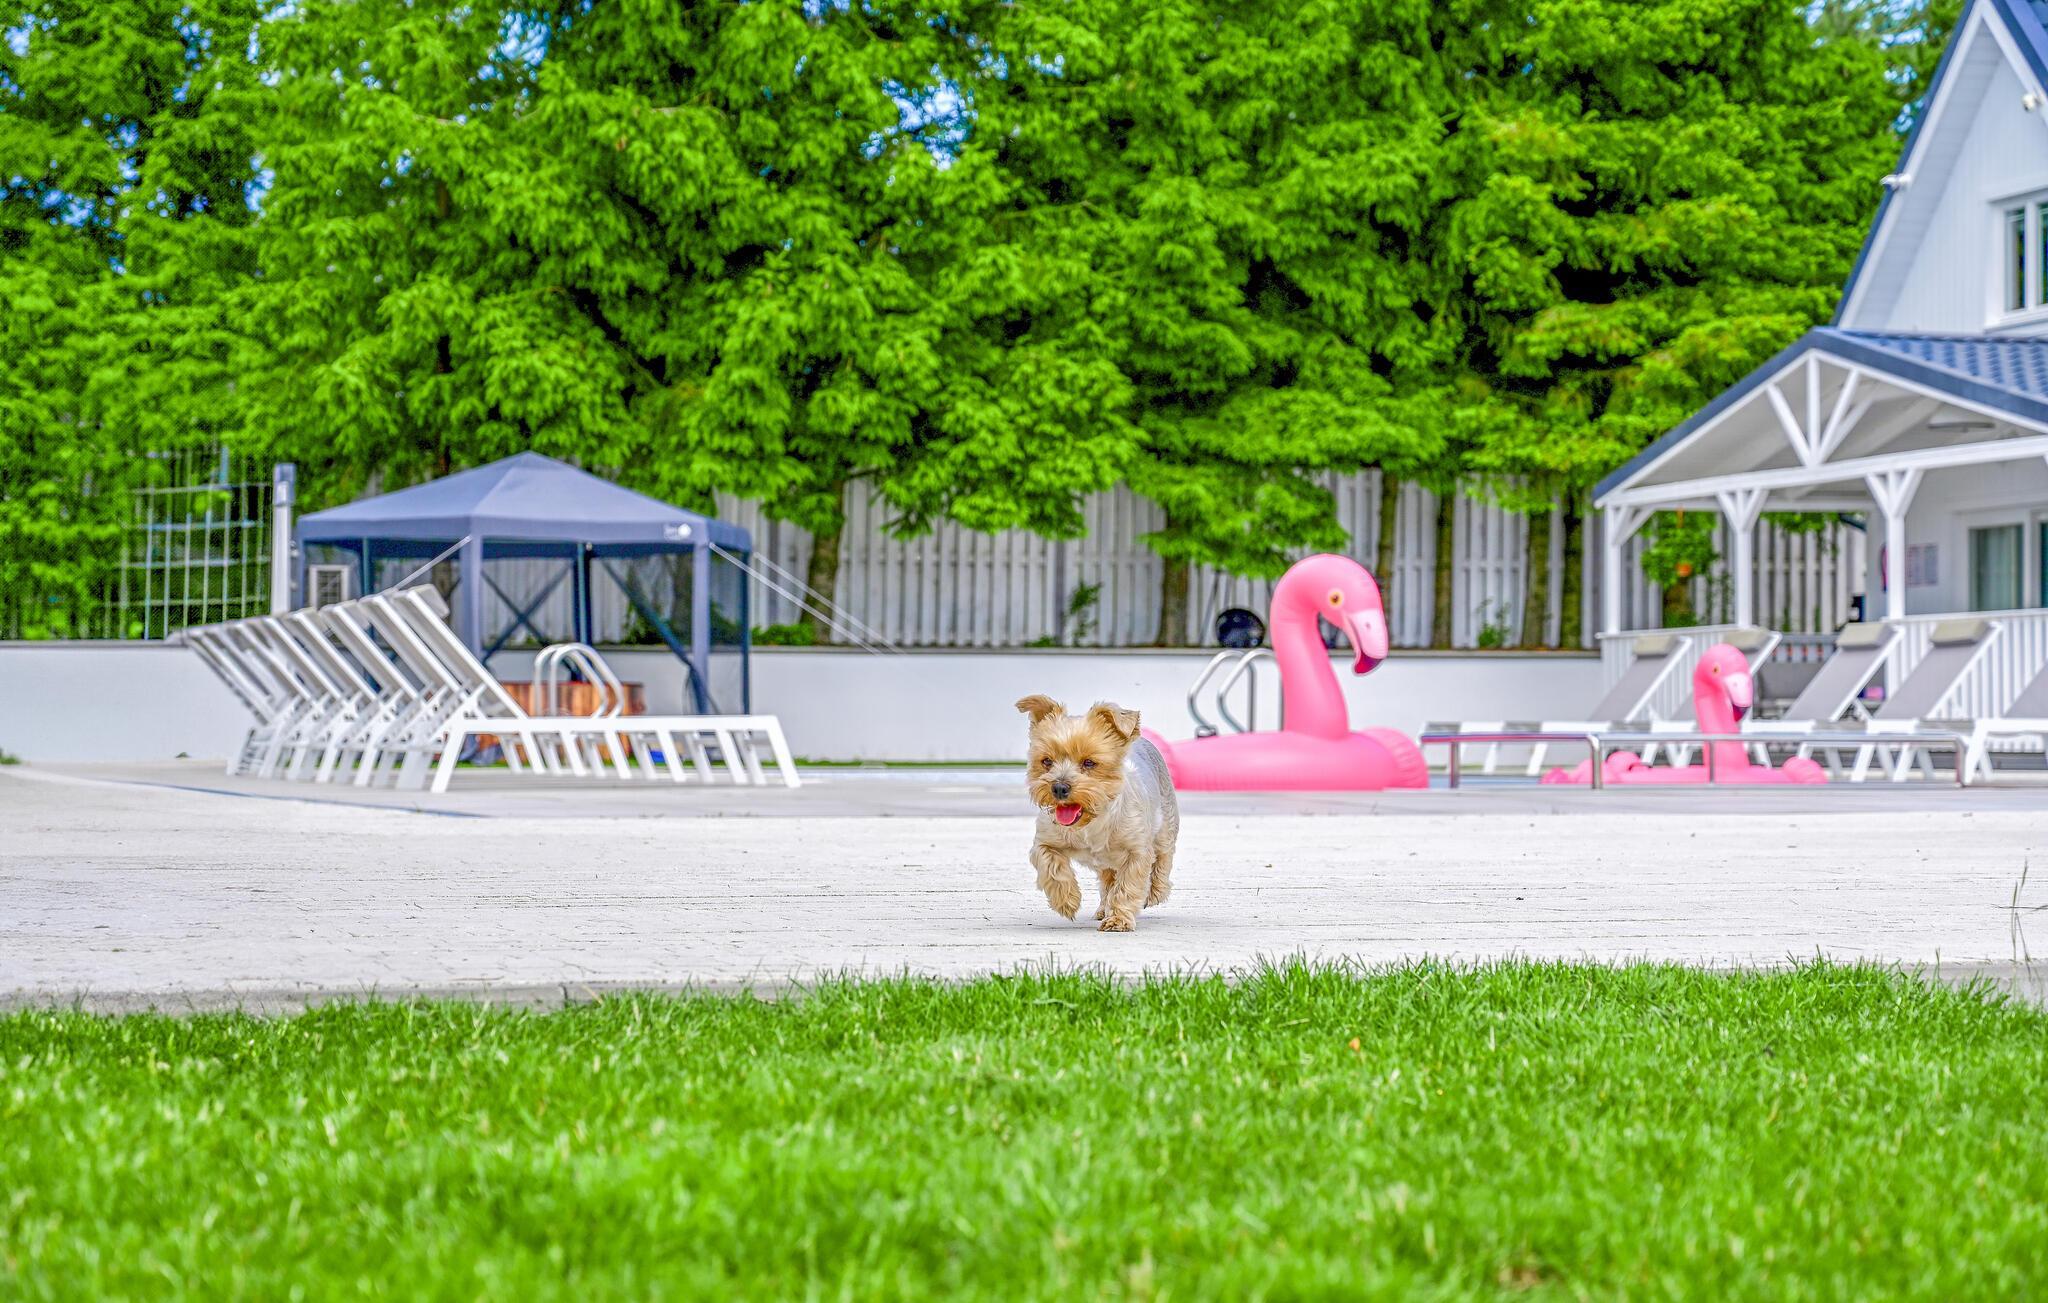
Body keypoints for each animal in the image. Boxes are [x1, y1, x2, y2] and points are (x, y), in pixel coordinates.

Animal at [1015, 695, 1179, 932]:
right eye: (1046, 761)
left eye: (1089, 762)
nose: (1059, 788)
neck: (1091, 820)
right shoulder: (1045, 843)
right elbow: (1052, 867)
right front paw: (1066, 900)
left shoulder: (1137, 851)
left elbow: (1128, 884)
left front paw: (1119, 919)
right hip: (1106, 863)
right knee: (1108, 881)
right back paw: (1103, 908)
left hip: (1166, 825)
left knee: (1163, 858)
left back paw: (1155, 891)